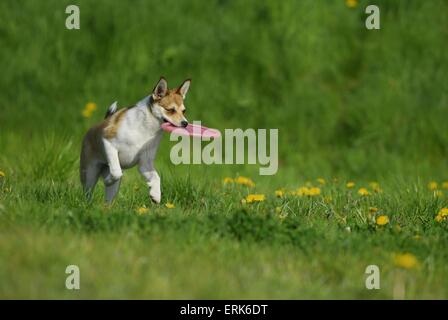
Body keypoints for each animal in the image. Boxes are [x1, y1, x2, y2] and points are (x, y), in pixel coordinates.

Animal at [80, 76, 191, 204]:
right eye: (171, 110)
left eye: (184, 111)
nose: (185, 123)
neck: (146, 127)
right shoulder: (108, 143)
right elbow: (116, 172)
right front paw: (107, 180)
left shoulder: (145, 164)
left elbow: (156, 177)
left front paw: (155, 194)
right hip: (89, 174)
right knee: (89, 191)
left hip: (112, 187)